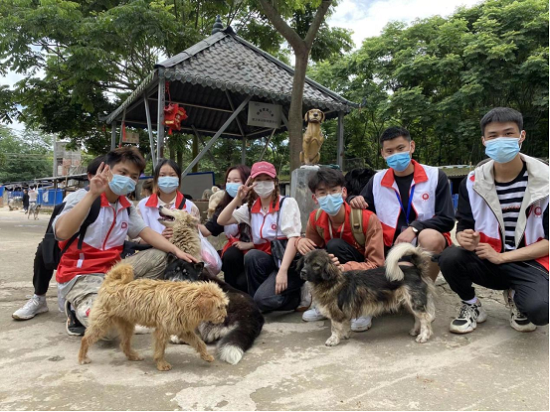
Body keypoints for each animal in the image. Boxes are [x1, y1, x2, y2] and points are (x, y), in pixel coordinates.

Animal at [78, 263, 229, 371]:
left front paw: (206, 356)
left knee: (124, 344)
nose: (225, 317)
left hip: (127, 325)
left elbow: (199, 343)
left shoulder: (183, 330)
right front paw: (161, 364)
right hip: (101, 323)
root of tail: (111, 283)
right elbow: (160, 350)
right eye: (219, 307)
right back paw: (82, 357)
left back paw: (132, 355)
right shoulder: (162, 331)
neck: (185, 298)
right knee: (85, 339)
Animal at [299, 243, 435, 346]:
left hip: (414, 301)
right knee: (418, 318)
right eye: (305, 262)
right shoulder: (344, 313)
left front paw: (333, 340)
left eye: (316, 265)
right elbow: (345, 325)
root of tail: (416, 269)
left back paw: (423, 336)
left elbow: (334, 328)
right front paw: (345, 335)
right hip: (409, 303)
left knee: (425, 318)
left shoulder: (336, 313)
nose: (302, 272)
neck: (332, 281)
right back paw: (415, 331)